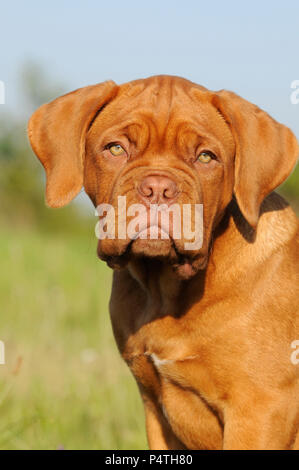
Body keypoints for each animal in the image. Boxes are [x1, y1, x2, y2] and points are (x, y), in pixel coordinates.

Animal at [28, 75, 299, 450]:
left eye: (206, 157)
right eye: (116, 149)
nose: (157, 188)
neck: (165, 290)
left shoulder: (259, 410)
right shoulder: (155, 408)